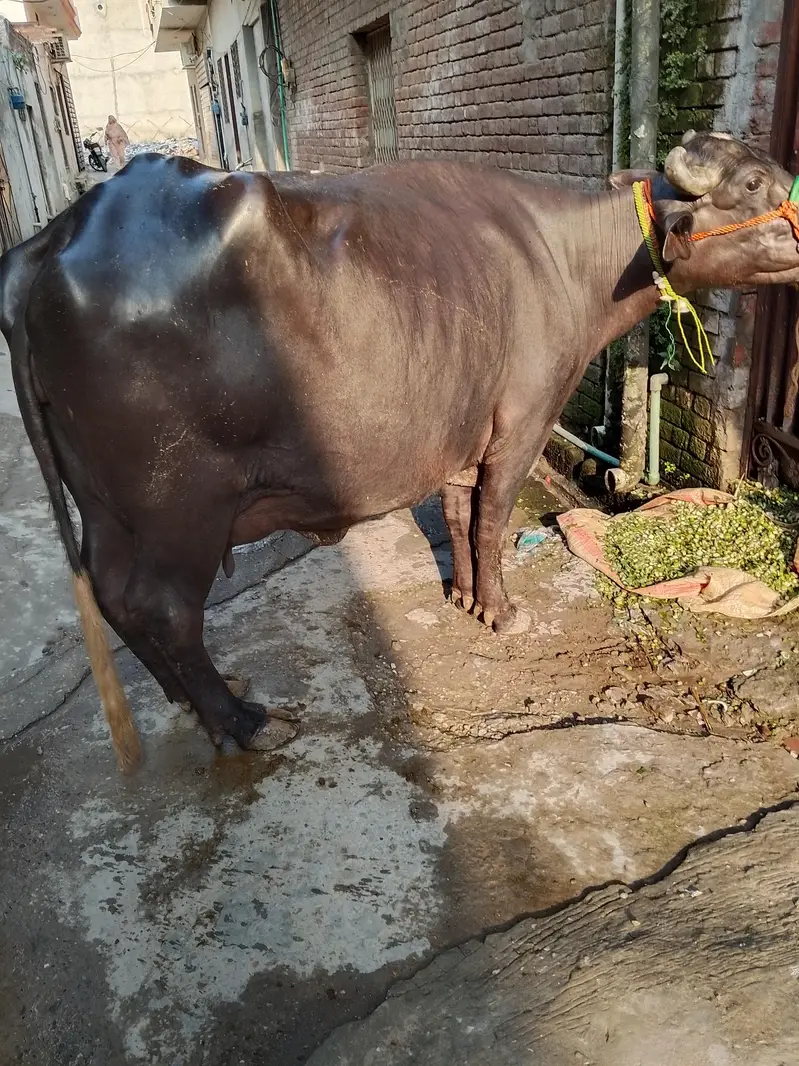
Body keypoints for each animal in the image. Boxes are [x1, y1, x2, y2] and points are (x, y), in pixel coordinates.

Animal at [1, 131, 798, 769]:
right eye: (753, 185)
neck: (567, 260)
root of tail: (50, 244)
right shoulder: (522, 424)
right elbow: (491, 519)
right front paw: (502, 611)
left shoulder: (459, 437)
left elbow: (456, 517)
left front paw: (466, 598)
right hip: (179, 506)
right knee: (162, 607)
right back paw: (240, 720)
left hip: (103, 502)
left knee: (113, 593)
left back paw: (180, 698)